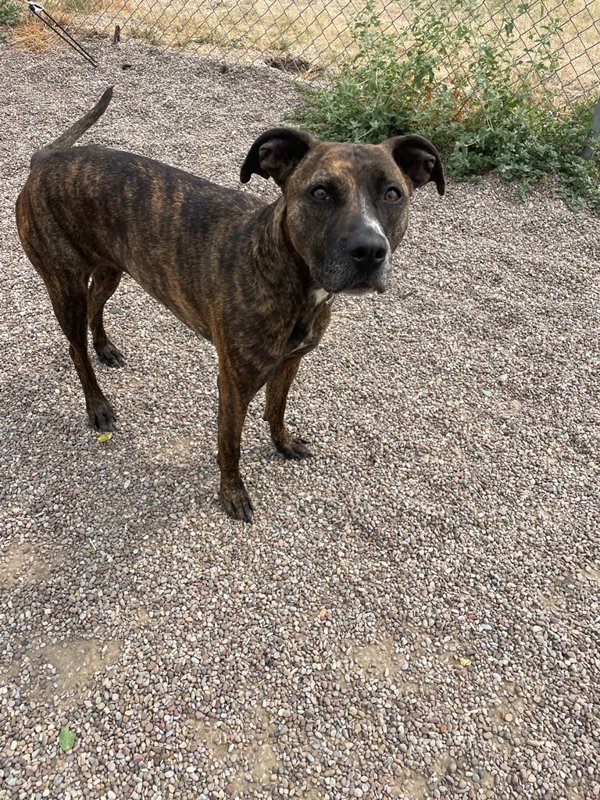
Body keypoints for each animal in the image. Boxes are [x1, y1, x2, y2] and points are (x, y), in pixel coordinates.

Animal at [15, 87, 446, 520]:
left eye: (392, 194)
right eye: (320, 192)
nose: (370, 250)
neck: (288, 275)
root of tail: (45, 159)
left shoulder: (290, 361)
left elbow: (276, 408)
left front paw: (282, 443)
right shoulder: (234, 382)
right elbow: (230, 443)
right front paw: (232, 492)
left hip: (112, 268)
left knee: (96, 306)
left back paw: (104, 347)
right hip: (64, 284)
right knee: (76, 347)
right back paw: (97, 404)